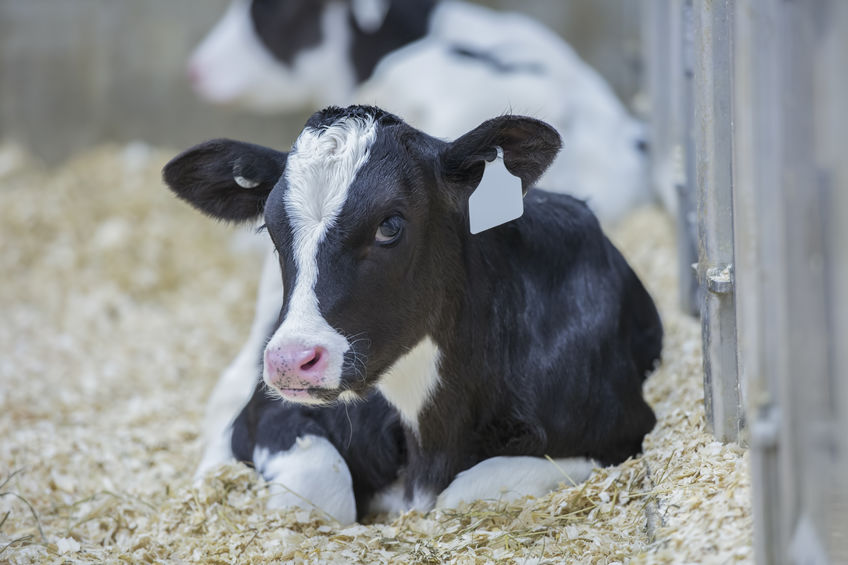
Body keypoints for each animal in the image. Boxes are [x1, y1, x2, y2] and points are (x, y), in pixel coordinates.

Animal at [161, 104, 664, 520]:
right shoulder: (266, 412)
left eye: (390, 225)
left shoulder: (623, 429)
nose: (291, 360)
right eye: (269, 226)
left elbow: (466, 493)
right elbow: (319, 488)